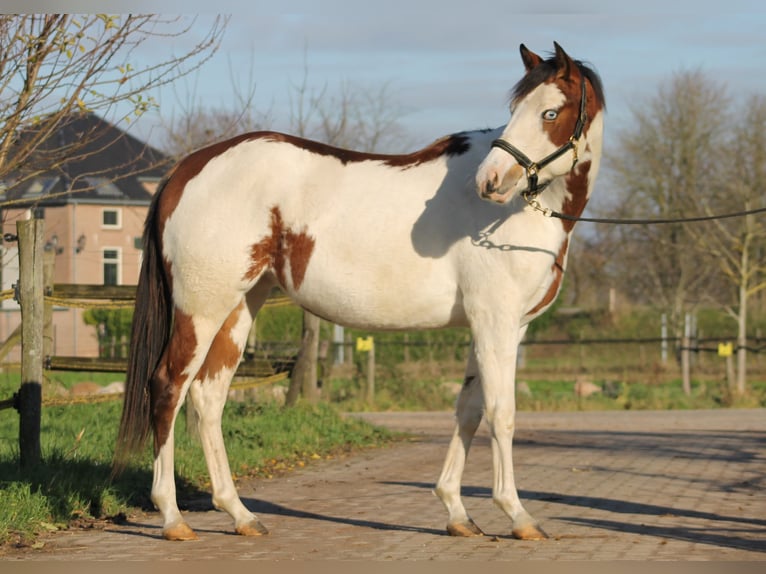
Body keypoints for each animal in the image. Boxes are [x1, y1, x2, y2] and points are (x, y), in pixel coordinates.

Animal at [114, 42, 608, 544]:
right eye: (515, 110)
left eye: (549, 112)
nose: (490, 182)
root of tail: (186, 168)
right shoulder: (497, 321)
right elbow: (501, 413)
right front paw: (518, 515)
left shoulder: (495, 326)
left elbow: (467, 410)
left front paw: (456, 512)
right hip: (201, 309)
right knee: (168, 387)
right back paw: (173, 517)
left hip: (239, 308)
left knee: (208, 398)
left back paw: (240, 514)